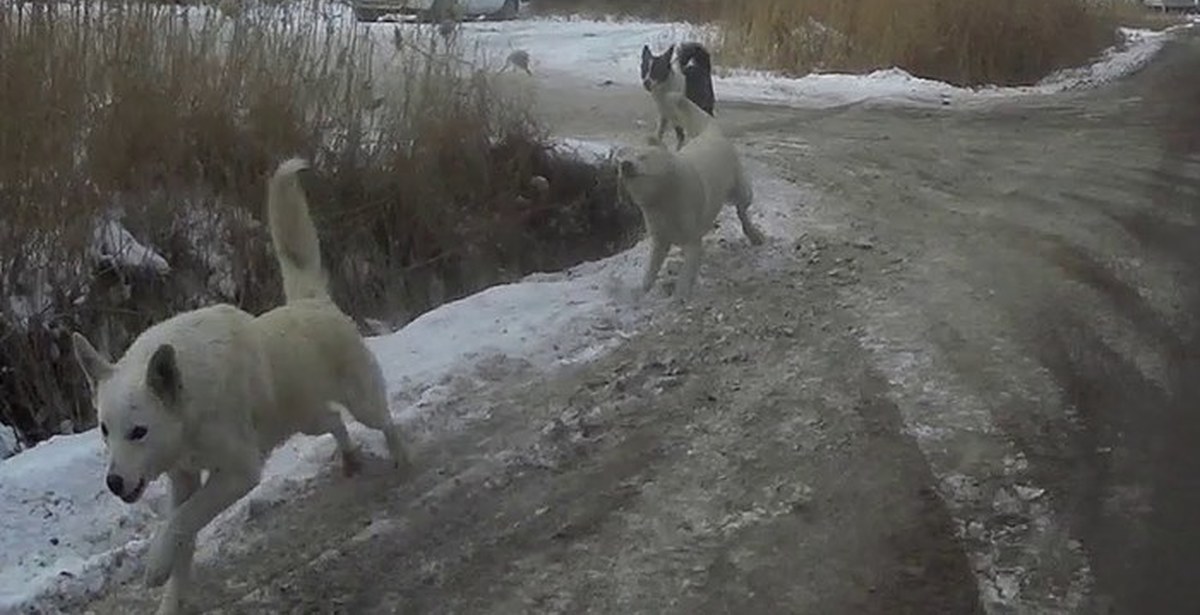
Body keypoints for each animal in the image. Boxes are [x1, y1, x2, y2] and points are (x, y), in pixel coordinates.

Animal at [70, 157, 410, 615]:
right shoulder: (184, 479)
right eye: (105, 431)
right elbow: (183, 534)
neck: (191, 406)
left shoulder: (238, 472)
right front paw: (171, 596)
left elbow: (182, 521)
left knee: (384, 420)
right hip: (304, 418)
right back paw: (351, 457)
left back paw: (401, 456)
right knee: (334, 421)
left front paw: (156, 564)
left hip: (361, 402)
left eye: (138, 431)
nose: (114, 483)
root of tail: (313, 303)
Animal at [619, 91, 768, 300]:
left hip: (741, 192)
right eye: (623, 158)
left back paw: (754, 235)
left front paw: (679, 298)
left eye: (643, 157)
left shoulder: (692, 242)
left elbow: (684, 276)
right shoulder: (659, 242)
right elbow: (649, 275)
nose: (624, 165)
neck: (663, 199)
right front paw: (641, 294)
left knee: (742, 212)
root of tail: (710, 132)